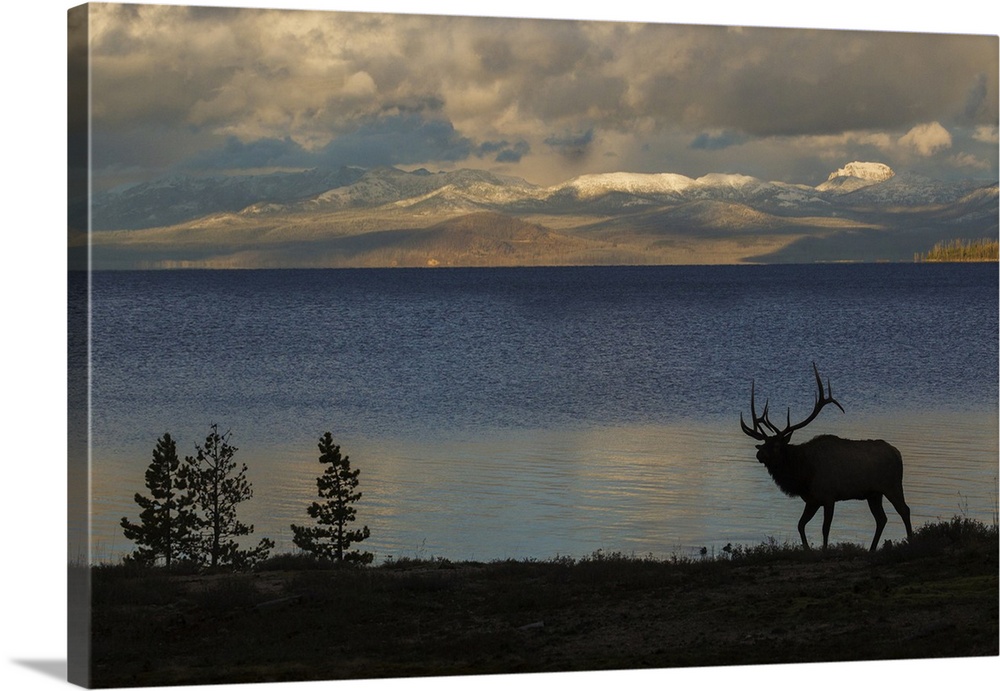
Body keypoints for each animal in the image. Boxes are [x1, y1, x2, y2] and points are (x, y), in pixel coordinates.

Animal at [740, 362, 912, 552]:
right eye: (764, 444)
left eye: (777, 446)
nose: (759, 454)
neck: (803, 474)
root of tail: (897, 453)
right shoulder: (812, 500)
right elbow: (800, 525)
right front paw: (807, 549)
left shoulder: (829, 497)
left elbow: (825, 529)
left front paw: (823, 550)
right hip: (873, 494)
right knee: (882, 518)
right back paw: (872, 549)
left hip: (892, 485)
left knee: (904, 510)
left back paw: (911, 542)